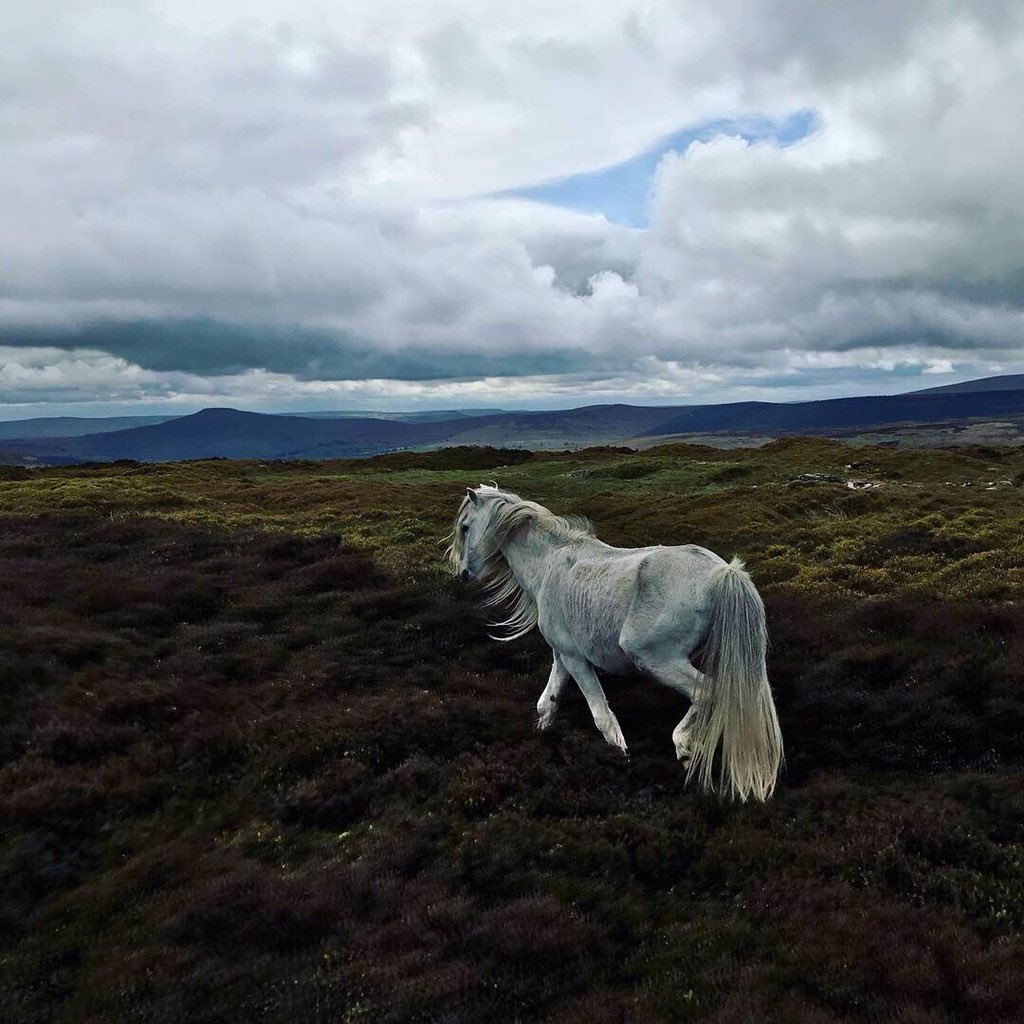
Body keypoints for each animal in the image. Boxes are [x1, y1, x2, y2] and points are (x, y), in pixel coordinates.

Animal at [447, 484, 783, 802]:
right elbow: (548, 702)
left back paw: (686, 747)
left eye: (465, 527)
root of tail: (721, 572)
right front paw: (542, 737)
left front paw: (619, 758)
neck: (549, 564)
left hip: (657, 659)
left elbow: (602, 717)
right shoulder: (561, 655)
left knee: (706, 693)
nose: (463, 573)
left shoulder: (576, 659)